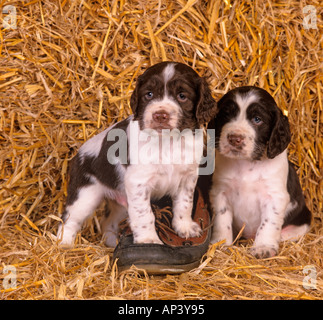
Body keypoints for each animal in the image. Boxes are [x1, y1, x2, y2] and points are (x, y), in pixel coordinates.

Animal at [57, 62, 218, 248]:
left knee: (108, 221)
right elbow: (144, 214)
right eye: (149, 94)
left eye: (182, 96)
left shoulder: (187, 177)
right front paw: (148, 240)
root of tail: (77, 155)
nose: (160, 115)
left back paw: (111, 242)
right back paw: (63, 243)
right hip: (85, 194)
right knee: (69, 218)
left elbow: (184, 204)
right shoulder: (138, 183)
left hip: (119, 201)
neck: (167, 142)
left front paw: (184, 227)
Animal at [209, 86, 312, 258]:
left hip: (302, 220)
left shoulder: (275, 196)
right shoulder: (220, 192)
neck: (247, 163)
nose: (234, 138)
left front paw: (263, 247)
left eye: (257, 119)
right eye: (226, 115)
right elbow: (222, 220)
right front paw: (221, 243)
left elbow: (269, 223)